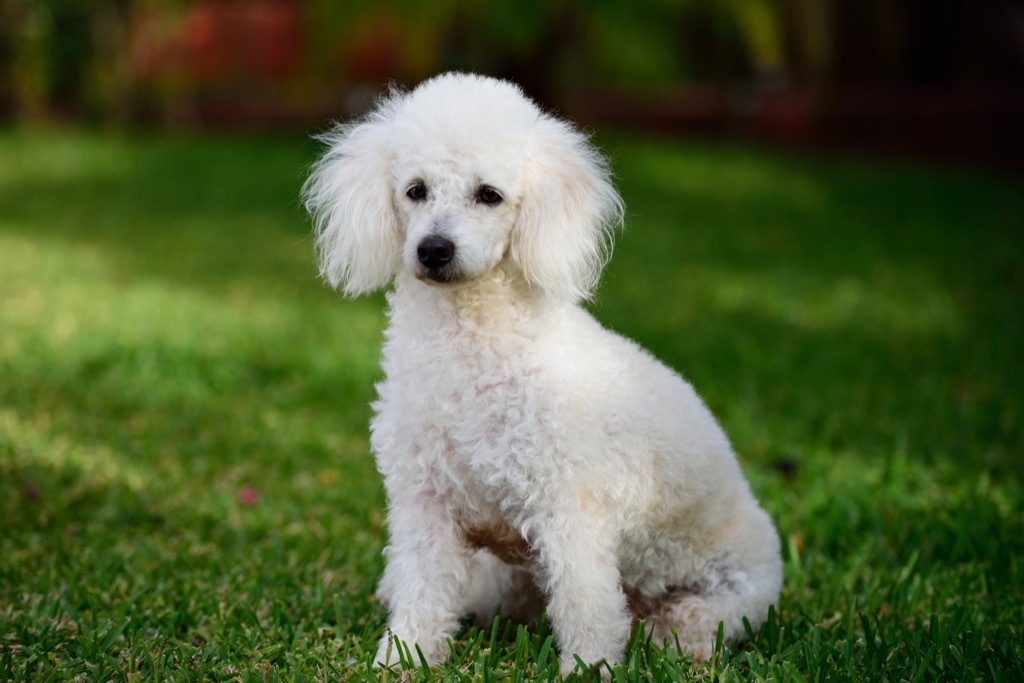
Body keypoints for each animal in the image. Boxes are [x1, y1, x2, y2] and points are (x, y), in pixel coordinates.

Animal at [303, 73, 782, 671]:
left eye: (489, 194)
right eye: (415, 190)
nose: (434, 249)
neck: (470, 351)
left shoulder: (570, 510)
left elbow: (585, 605)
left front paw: (589, 668)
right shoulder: (426, 505)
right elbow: (421, 590)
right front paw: (403, 658)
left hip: (728, 594)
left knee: (690, 624)